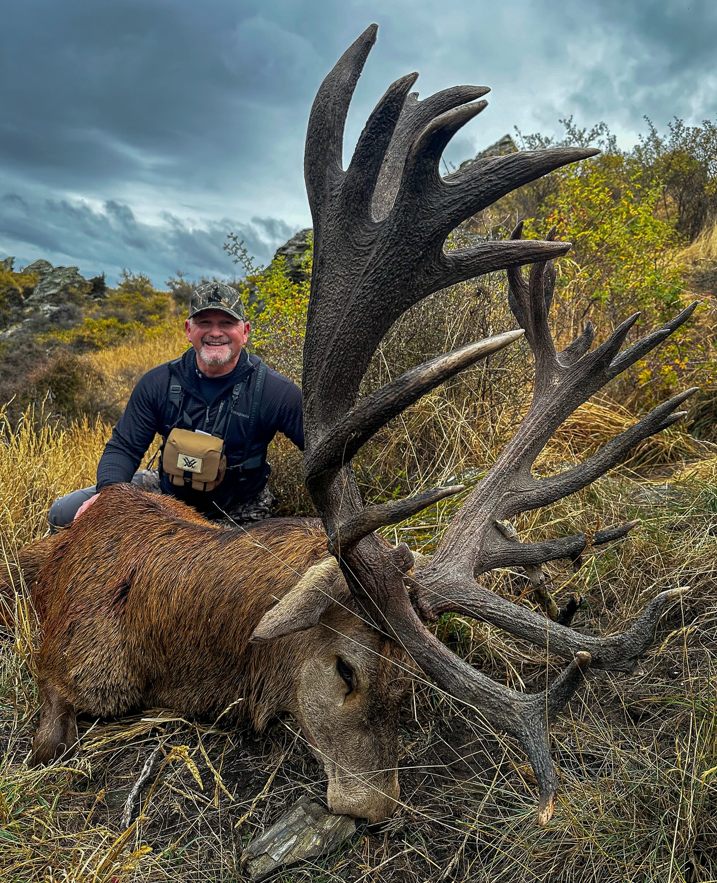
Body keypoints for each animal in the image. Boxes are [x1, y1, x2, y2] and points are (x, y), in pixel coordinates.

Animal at [25, 24, 695, 825]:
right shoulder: (56, 669)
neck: (163, 645)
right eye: (345, 668)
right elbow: (48, 733)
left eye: (410, 688)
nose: (375, 807)